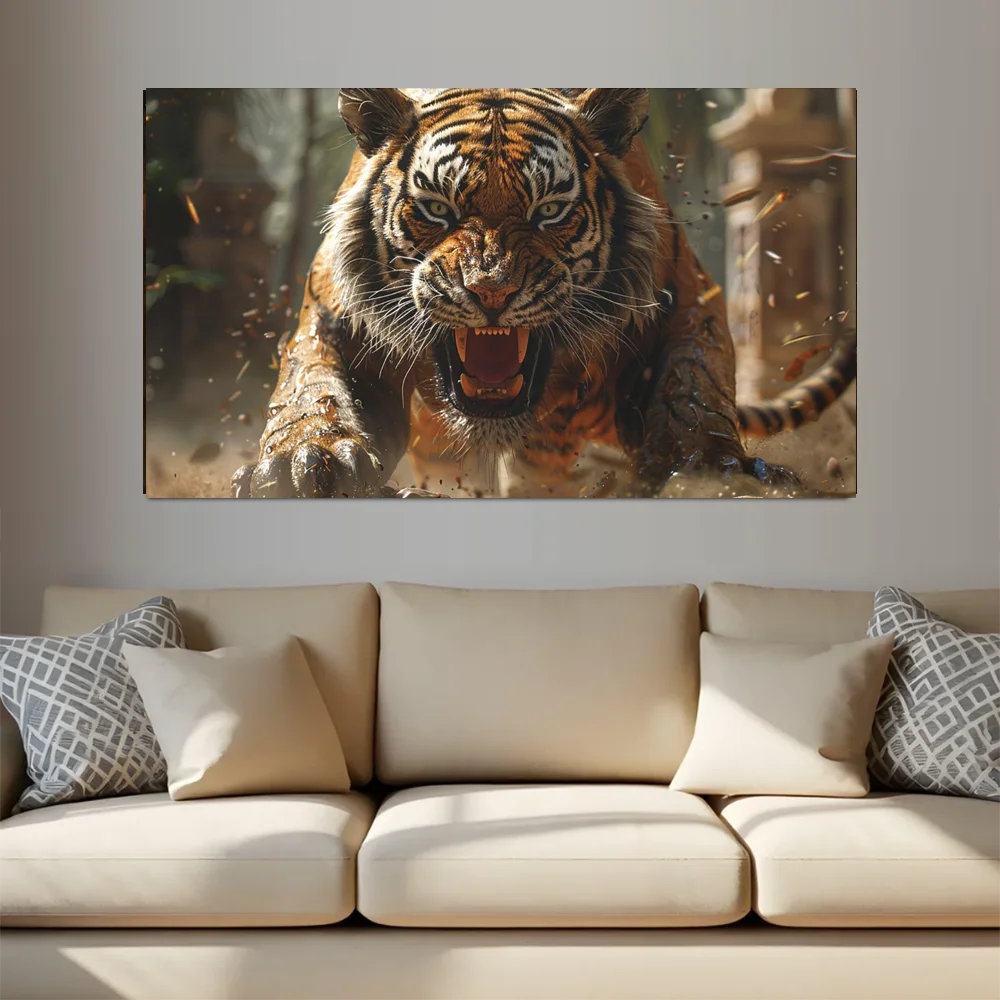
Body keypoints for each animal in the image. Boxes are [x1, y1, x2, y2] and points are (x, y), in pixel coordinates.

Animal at [231, 88, 856, 499]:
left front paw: (710, 467)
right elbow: (313, 385)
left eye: (550, 210)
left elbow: (692, 385)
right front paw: (304, 461)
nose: (491, 289)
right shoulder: (335, 316)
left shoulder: (683, 300)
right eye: (437, 208)